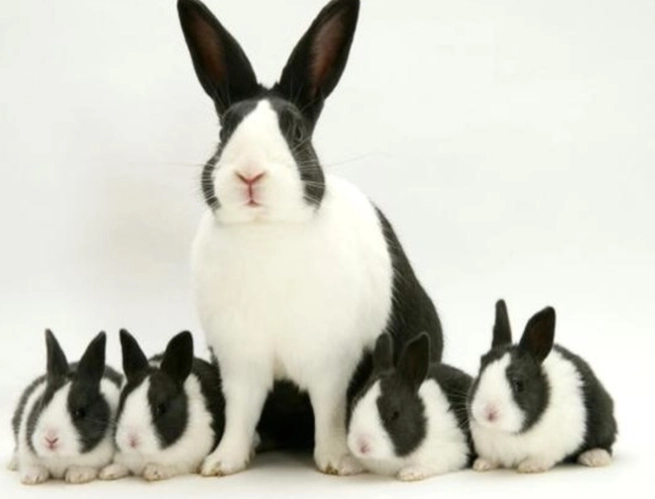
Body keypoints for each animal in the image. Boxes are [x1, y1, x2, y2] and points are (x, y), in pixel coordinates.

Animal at [9, 330, 121, 485]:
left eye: (79, 413)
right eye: (41, 405)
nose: (50, 439)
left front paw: (78, 475)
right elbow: (33, 466)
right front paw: (32, 477)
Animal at [99, 329, 225, 482]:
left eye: (161, 408)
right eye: (122, 402)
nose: (132, 440)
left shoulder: (188, 458)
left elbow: (173, 466)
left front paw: (153, 471)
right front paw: (108, 472)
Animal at [177, 0, 443, 476]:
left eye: (297, 133)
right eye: (224, 132)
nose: (249, 173)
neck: (266, 230)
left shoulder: (331, 361)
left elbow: (330, 409)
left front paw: (337, 461)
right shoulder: (239, 362)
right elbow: (241, 412)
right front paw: (223, 462)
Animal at [347, 333, 472, 481]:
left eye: (394, 414)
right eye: (354, 402)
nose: (360, 445)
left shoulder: (454, 451)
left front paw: (410, 473)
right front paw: (347, 465)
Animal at [468, 300, 618, 473]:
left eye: (519, 384)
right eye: (479, 376)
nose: (489, 413)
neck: (505, 432)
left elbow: (542, 458)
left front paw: (529, 466)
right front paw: (482, 464)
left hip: (602, 422)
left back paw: (594, 457)